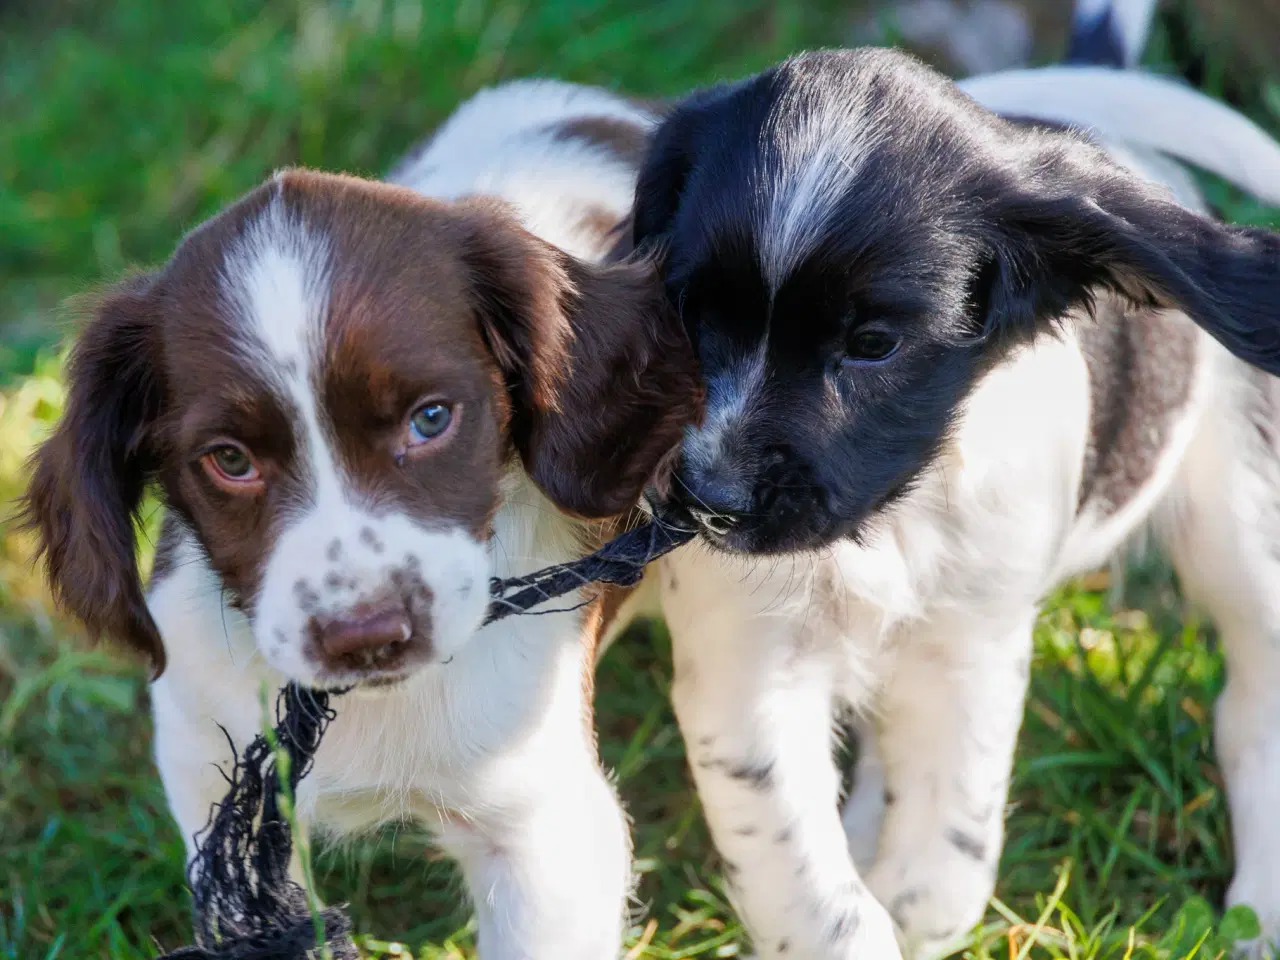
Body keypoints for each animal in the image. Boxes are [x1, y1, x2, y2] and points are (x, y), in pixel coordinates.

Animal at [622, 37, 1280, 960]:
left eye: (873, 344)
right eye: (690, 311)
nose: (711, 502)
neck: (887, 526)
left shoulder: (970, 645)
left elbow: (942, 853)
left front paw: (915, 902)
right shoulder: (746, 663)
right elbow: (811, 890)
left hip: (1239, 522)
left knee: (1254, 707)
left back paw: (1262, 905)